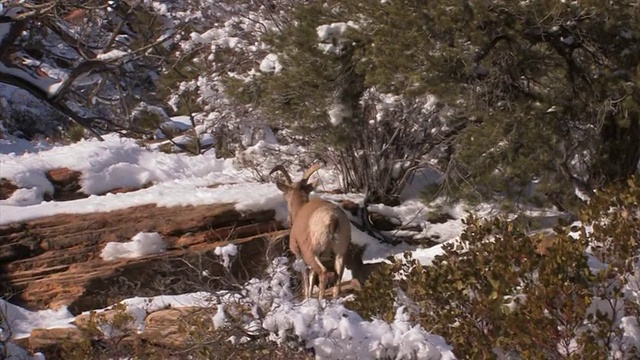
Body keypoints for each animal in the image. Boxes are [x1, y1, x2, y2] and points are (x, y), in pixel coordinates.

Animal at [268, 165, 352, 300]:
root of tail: (333, 218)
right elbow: (312, 277)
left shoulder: (300, 256)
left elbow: (306, 279)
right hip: (340, 254)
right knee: (337, 278)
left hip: (311, 253)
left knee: (323, 272)